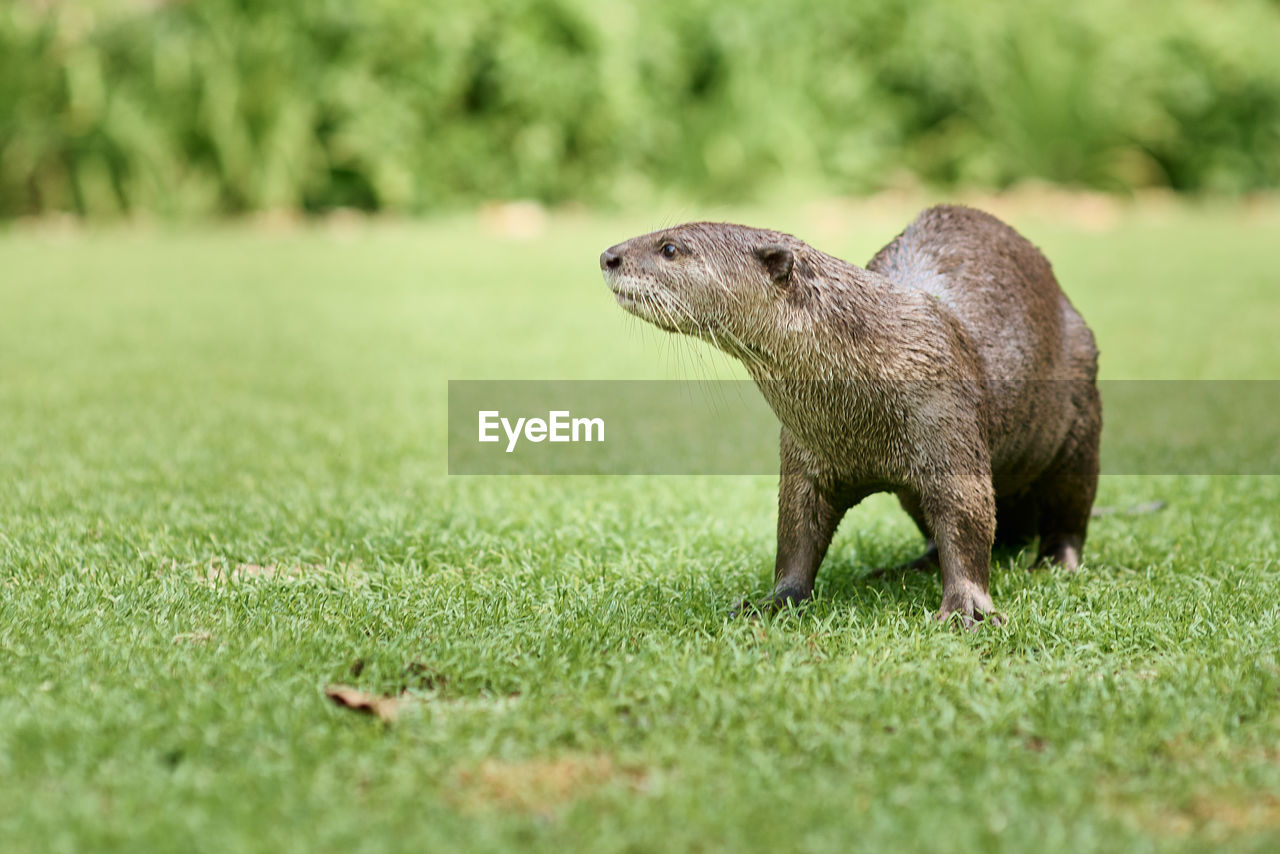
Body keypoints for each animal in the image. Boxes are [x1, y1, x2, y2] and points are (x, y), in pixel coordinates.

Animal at [599, 203, 1100, 624]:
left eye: (669, 248)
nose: (608, 256)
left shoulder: (949, 425)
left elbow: (967, 517)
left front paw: (966, 611)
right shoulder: (802, 455)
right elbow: (795, 533)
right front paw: (774, 602)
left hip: (1081, 414)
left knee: (1069, 509)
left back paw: (1054, 563)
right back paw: (909, 567)